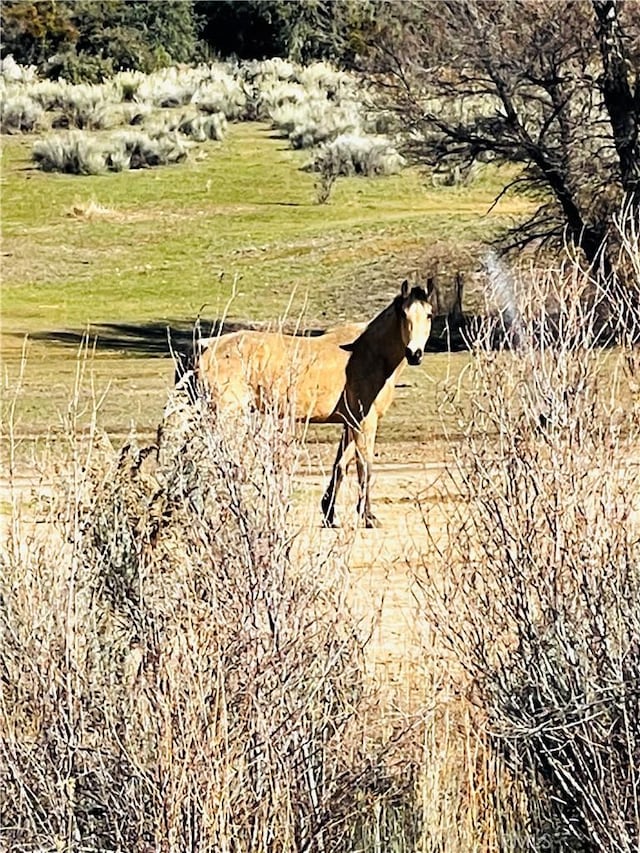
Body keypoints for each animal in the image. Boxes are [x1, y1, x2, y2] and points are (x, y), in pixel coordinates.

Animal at [188, 280, 432, 524]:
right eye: (404, 314)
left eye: (429, 315)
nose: (414, 353)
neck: (369, 353)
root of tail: (207, 344)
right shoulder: (365, 422)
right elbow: (365, 467)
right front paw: (368, 516)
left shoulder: (350, 423)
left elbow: (340, 466)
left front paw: (329, 513)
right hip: (227, 416)